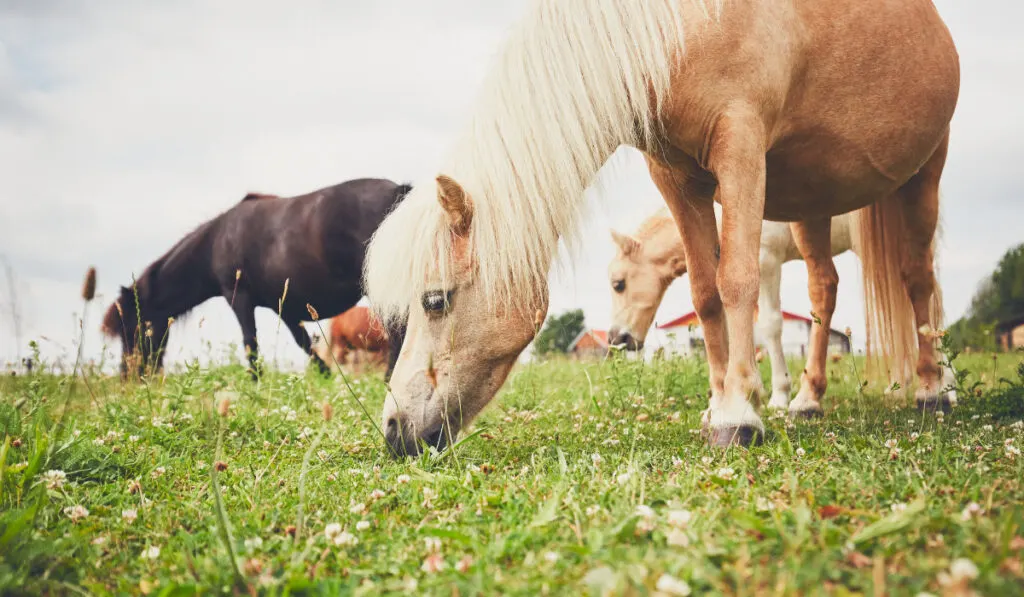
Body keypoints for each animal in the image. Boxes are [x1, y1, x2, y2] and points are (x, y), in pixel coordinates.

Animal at [99, 177, 409, 380]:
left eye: (132, 328)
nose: (128, 375)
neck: (215, 242)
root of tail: (398, 192)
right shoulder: (285, 308)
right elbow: (304, 343)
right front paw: (324, 375)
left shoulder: (239, 298)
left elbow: (251, 343)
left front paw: (255, 381)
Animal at [606, 205, 958, 415]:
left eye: (618, 283)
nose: (616, 339)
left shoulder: (766, 260)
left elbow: (770, 325)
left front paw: (779, 394)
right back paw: (902, 386)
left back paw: (946, 388)